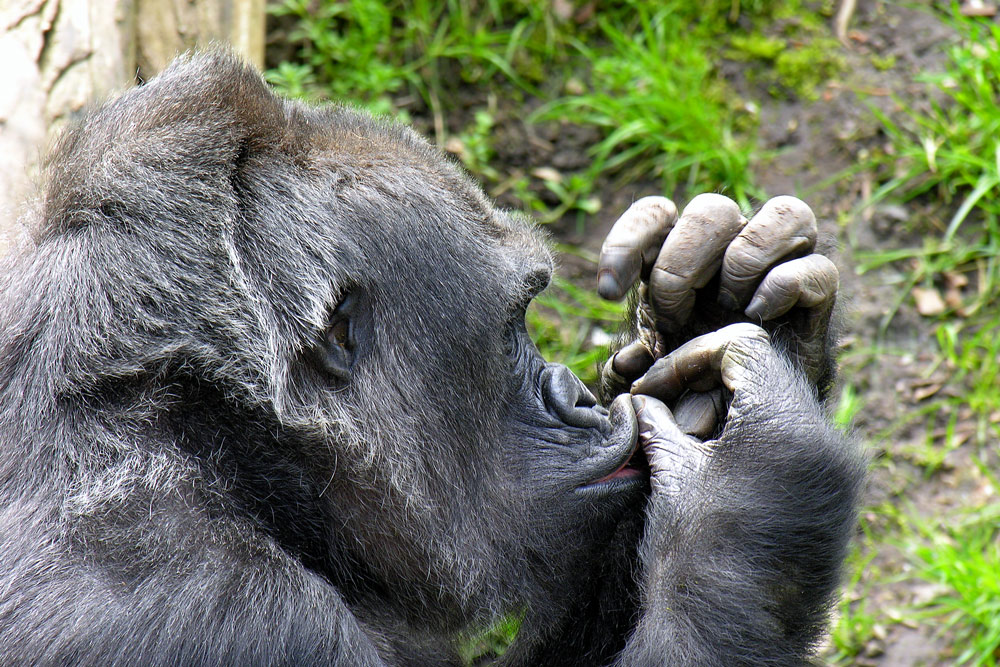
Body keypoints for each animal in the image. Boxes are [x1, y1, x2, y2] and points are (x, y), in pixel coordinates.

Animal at [0, 53, 860, 667]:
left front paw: (726, 302)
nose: (576, 395)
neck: (222, 452)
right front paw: (760, 486)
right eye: (514, 322)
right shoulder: (209, 611)